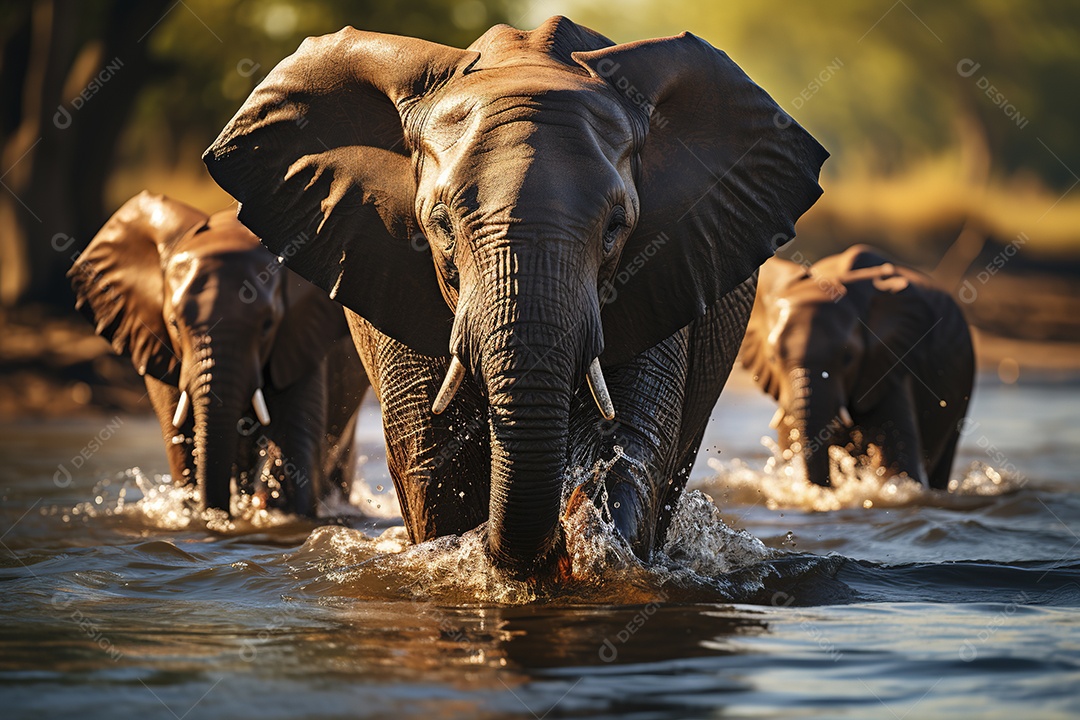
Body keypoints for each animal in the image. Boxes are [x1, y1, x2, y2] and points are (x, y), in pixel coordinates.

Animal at [68, 191, 368, 516]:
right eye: (173, 324)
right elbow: (182, 442)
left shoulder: (300, 338)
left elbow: (293, 445)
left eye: (268, 325)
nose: (218, 514)